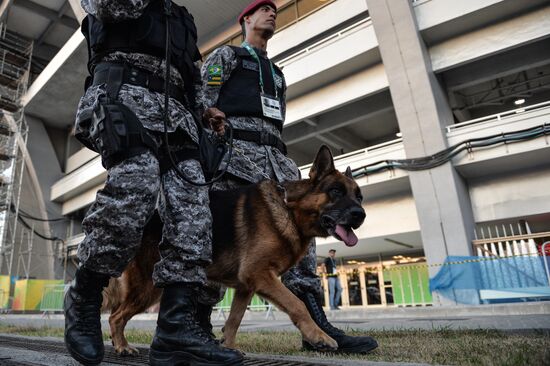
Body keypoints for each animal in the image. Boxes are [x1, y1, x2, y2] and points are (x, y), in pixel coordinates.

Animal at [105, 145, 368, 354]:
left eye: (359, 197)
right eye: (335, 191)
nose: (361, 215)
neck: (290, 211)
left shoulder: (246, 285)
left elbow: (235, 319)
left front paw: (228, 347)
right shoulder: (259, 274)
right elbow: (297, 304)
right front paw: (319, 337)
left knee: (117, 315)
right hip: (147, 288)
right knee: (115, 316)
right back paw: (122, 347)